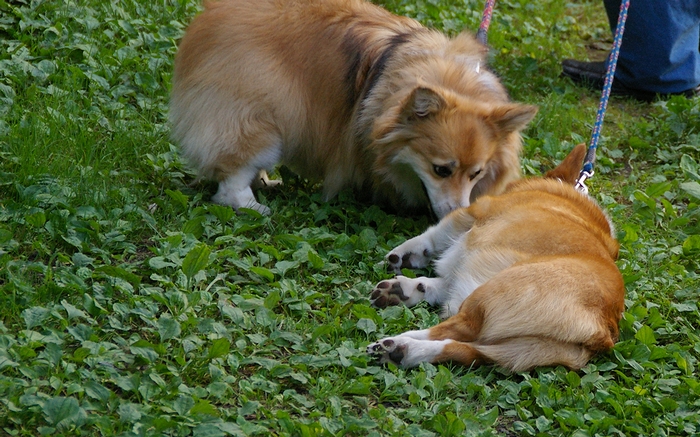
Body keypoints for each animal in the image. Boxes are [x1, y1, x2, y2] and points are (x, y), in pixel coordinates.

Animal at [170, 0, 536, 216]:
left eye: (477, 174)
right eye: (441, 170)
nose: (456, 212)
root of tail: (215, 10)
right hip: (262, 116)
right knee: (233, 174)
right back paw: (253, 207)